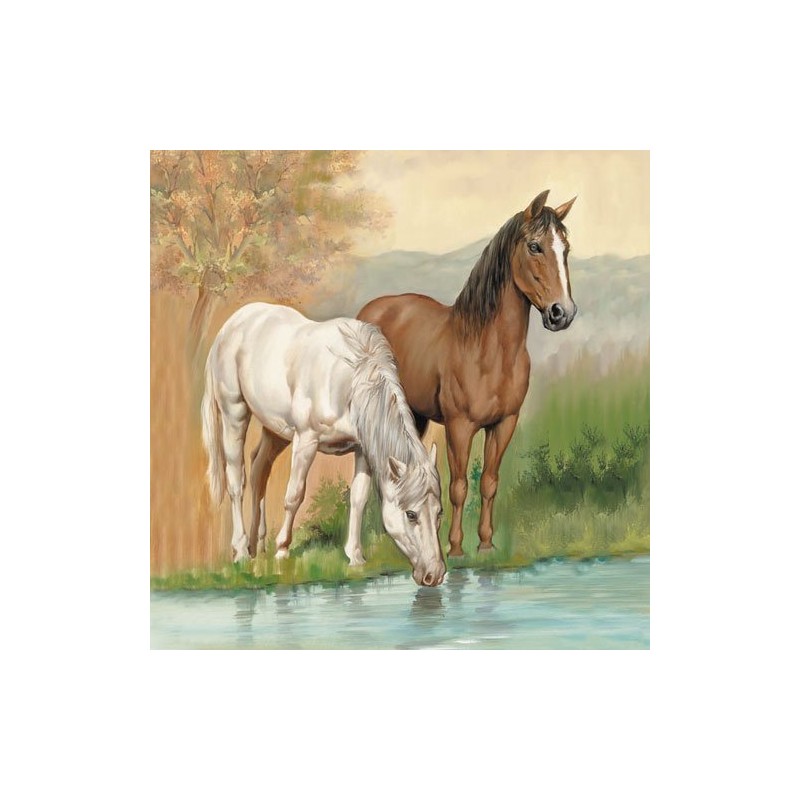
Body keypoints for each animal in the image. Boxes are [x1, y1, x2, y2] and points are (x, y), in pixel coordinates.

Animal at [201, 302, 446, 586]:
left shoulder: (363, 449)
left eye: (439, 512)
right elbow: (294, 495)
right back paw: (241, 551)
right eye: (411, 514)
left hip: (275, 430)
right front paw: (282, 551)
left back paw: (257, 547)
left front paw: (355, 557)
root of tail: (231, 325)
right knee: (236, 480)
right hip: (235, 414)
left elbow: (359, 498)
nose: (434, 574)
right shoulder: (306, 440)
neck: (349, 380)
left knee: (259, 469)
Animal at [358, 190, 577, 557]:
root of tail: (369, 311)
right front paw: (455, 548)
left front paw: (486, 543)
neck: (489, 351)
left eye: (566, 248)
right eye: (535, 246)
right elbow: (458, 486)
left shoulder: (504, 424)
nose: (563, 313)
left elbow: (489, 482)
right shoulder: (459, 427)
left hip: (414, 416)